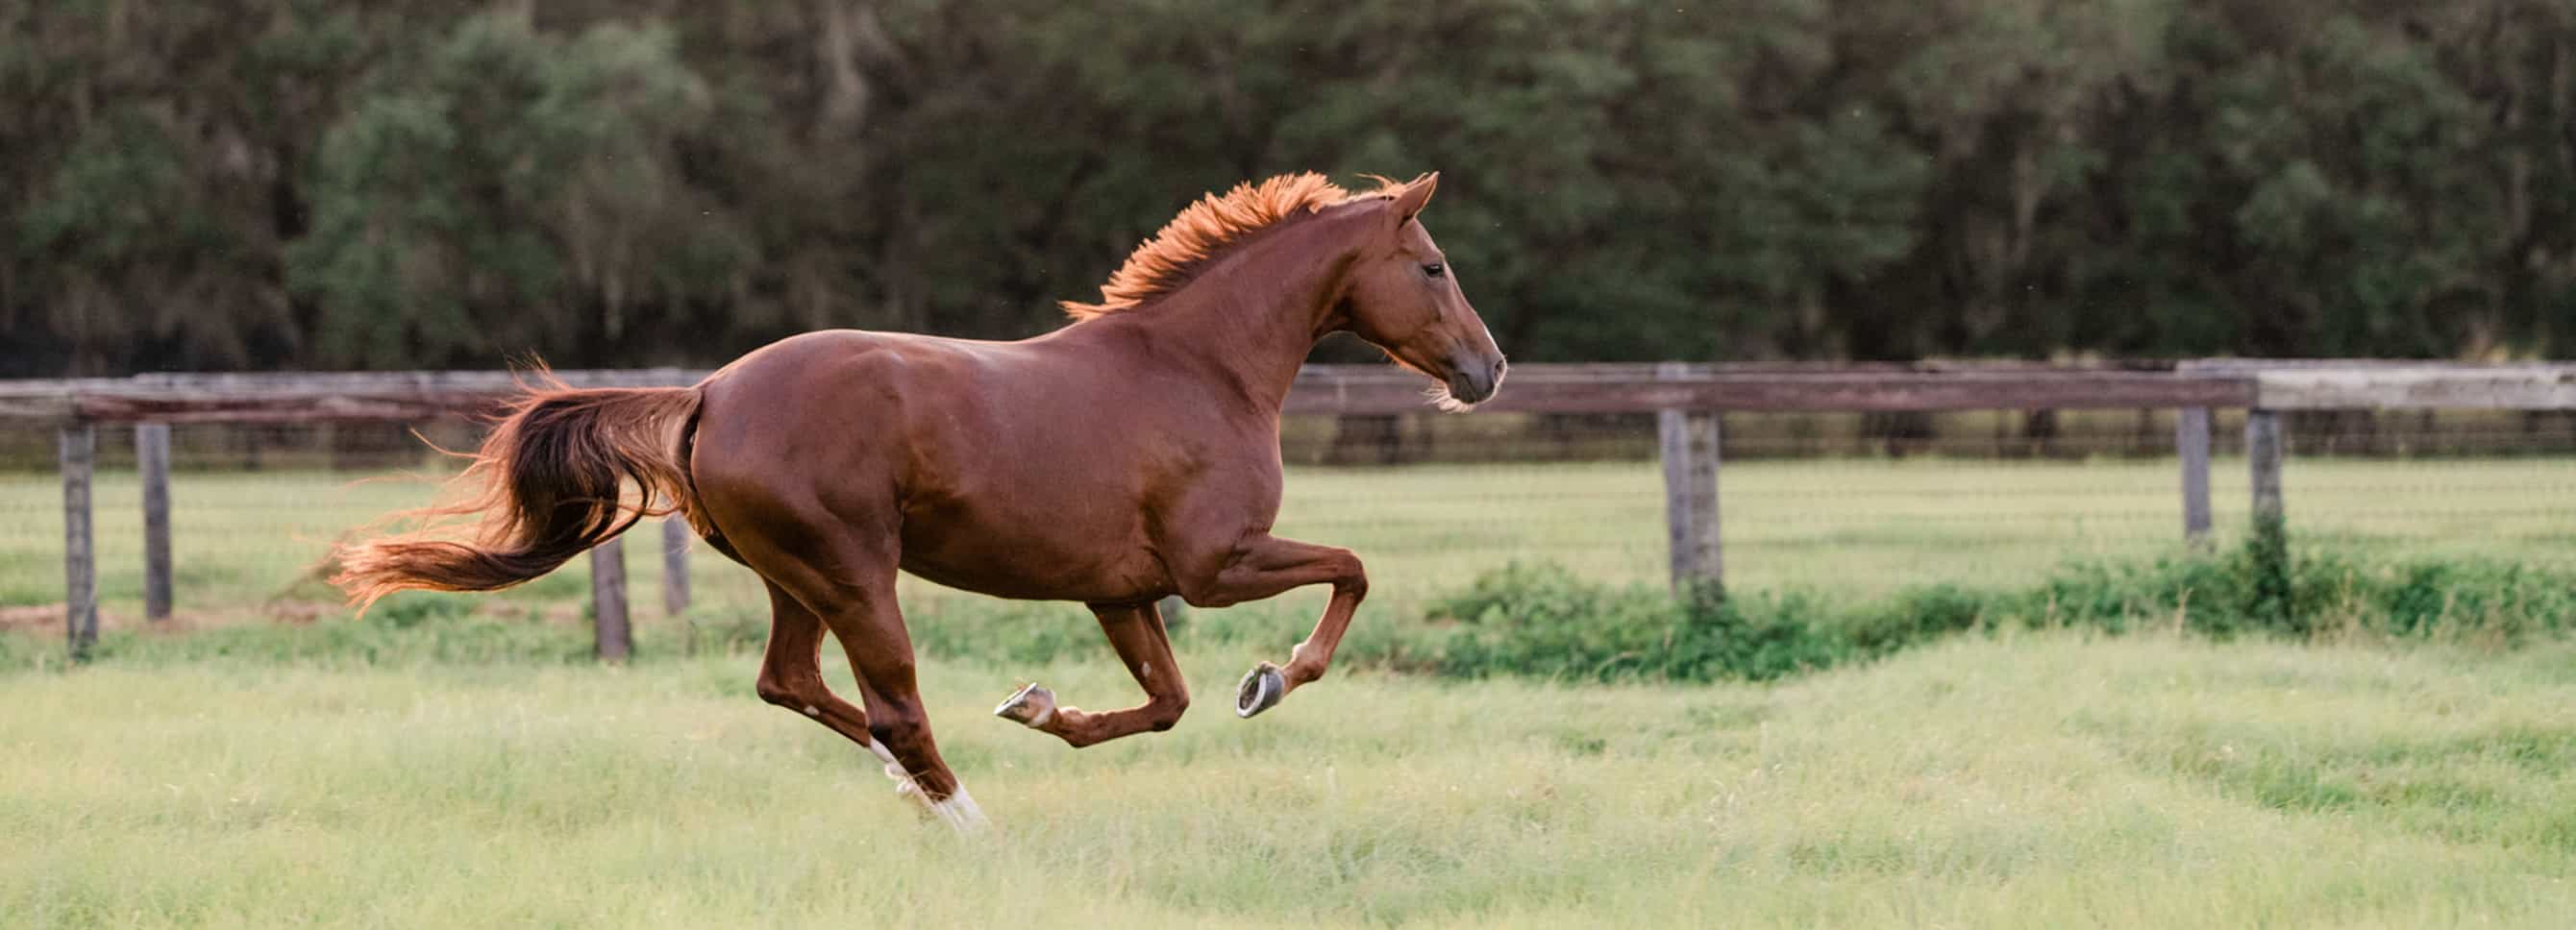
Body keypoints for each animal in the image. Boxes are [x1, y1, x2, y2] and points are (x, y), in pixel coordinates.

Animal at [332, 172, 1506, 830]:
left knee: (790, 683)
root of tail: (709, 393)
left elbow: (1163, 703)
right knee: (892, 705)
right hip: (857, 575)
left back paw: (914, 789)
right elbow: (1351, 570)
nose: (1487, 371)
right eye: (1434, 265)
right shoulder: (1214, 565)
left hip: (798, 580)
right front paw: (1272, 679)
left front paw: (1040, 706)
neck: (1199, 367)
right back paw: (973, 824)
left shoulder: (1121, 590)